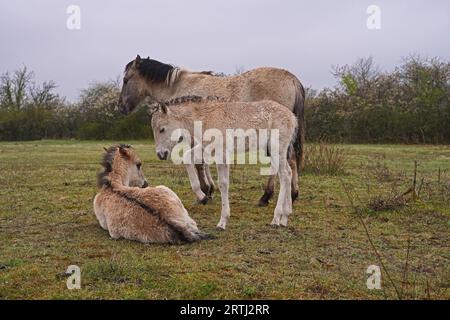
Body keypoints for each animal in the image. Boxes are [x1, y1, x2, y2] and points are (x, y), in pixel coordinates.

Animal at [118, 55, 306, 206]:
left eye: (126, 80)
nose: (120, 107)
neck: (178, 87)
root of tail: (293, 79)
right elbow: (204, 162)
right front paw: (210, 189)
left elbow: (199, 163)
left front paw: (205, 191)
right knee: (292, 160)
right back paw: (292, 194)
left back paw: (266, 196)